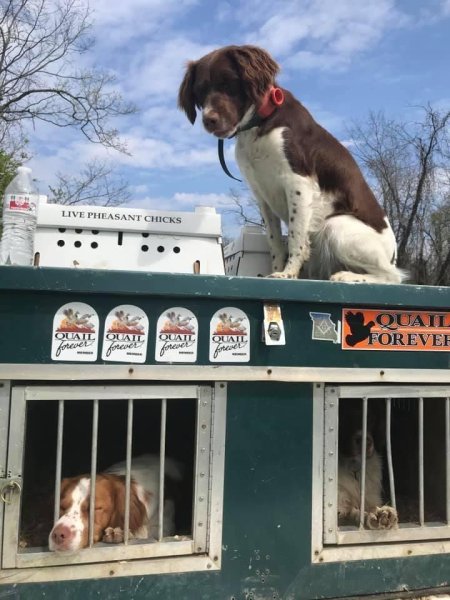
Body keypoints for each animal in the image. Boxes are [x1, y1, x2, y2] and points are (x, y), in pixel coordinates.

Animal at [178, 44, 404, 284]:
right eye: (200, 92)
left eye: (228, 83)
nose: (209, 120)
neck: (261, 124)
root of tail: (393, 254)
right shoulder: (262, 196)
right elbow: (275, 241)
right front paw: (275, 270)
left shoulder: (298, 183)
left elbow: (296, 236)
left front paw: (288, 273)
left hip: (335, 225)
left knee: (393, 276)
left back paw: (348, 276)